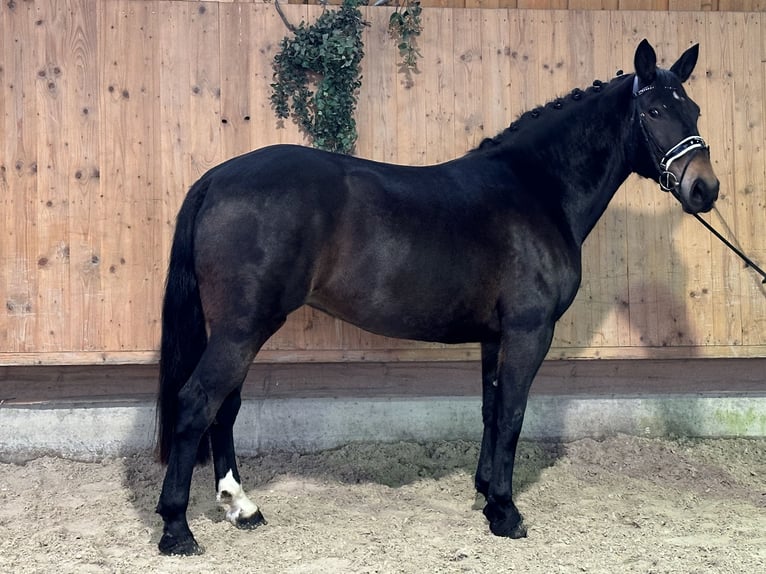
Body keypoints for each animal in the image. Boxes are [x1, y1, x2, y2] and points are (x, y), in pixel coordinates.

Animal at [154, 38, 720, 556]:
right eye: (654, 110)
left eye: (693, 109)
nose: (704, 189)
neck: (536, 190)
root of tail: (216, 178)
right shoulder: (529, 330)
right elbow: (513, 412)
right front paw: (507, 513)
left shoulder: (496, 337)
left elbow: (492, 408)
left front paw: (487, 494)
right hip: (243, 328)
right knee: (197, 402)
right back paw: (177, 529)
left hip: (237, 328)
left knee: (225, 406)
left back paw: (241, 507)